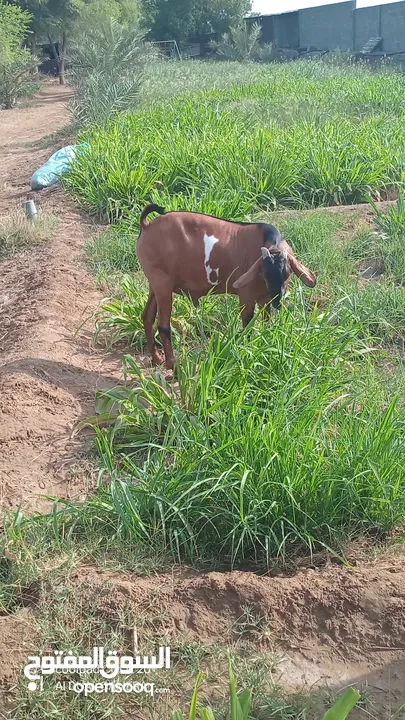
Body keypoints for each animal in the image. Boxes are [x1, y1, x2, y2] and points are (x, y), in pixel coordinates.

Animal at [136, 204, 316, 368]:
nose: (278, 300)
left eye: (288, 274)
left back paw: (156, 359)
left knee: (147, 316)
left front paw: (266, 343)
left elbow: (266, 322)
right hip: (163, 283)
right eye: (264, 273)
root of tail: (147, 225)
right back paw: (172, 366)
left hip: (155, 284)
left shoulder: (265, 298)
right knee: (163, 326)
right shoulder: (246, 296)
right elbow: (247, 326)